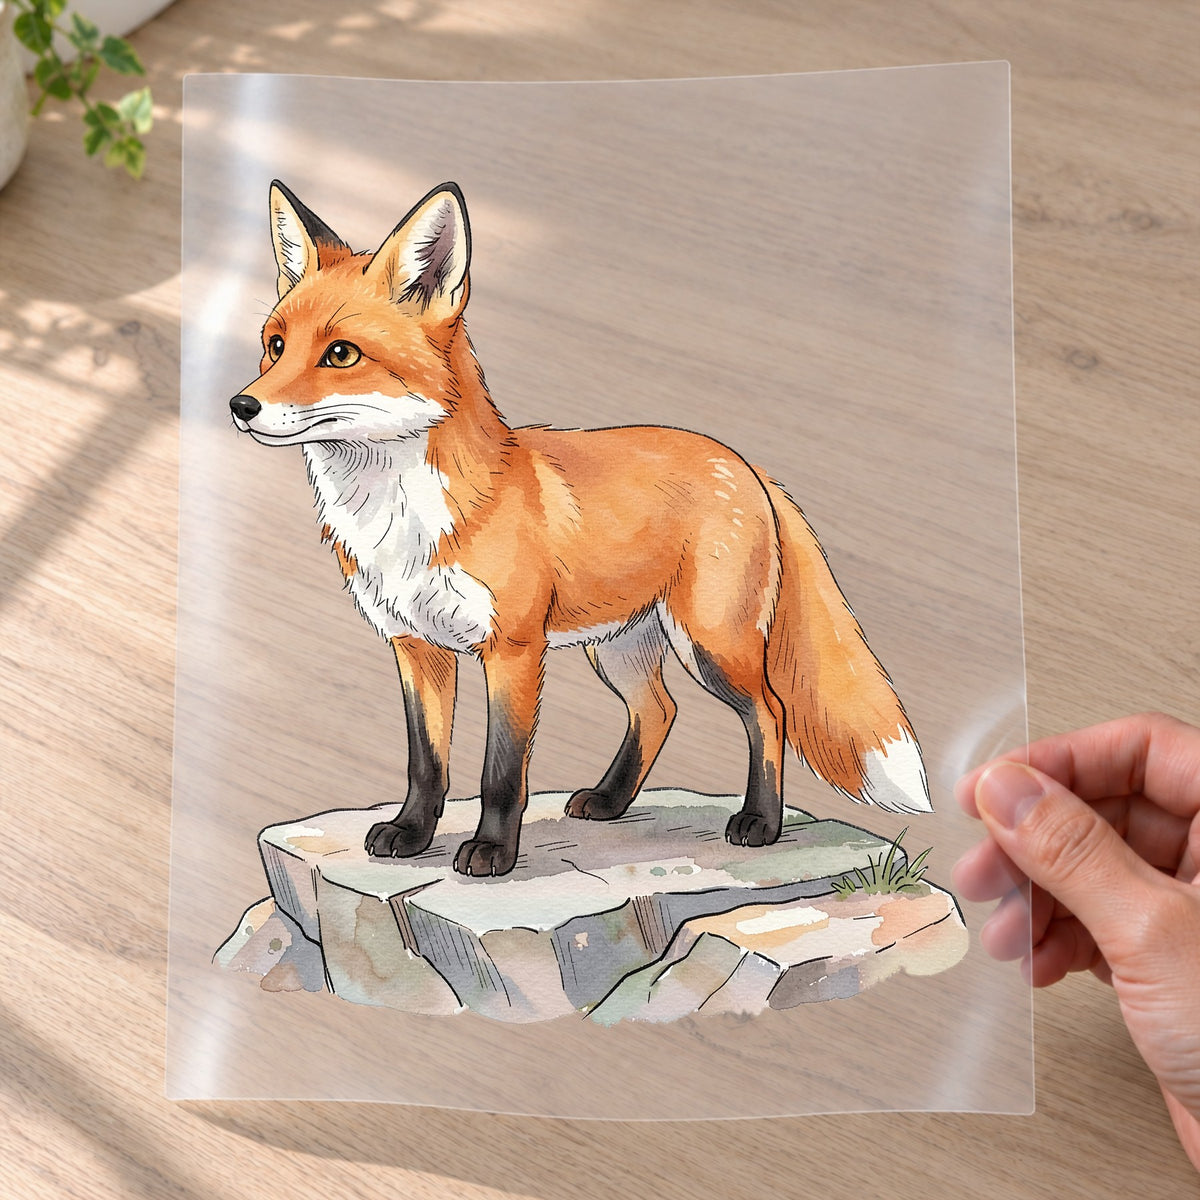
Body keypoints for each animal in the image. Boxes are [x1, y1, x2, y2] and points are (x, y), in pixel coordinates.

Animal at [228, 180, 932, 878]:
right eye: (275, 345)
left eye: (341, 354)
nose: (240, 406)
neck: (399, 518)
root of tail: (742, 462)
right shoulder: (416, 647)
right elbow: (426, 763)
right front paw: (411, 833)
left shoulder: (513, 650)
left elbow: (500, 771)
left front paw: (492, 851)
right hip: (619, 646)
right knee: (660, 711)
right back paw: (611, 801)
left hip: (711, 644)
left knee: (770, 711)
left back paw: (759, 822)